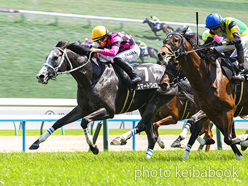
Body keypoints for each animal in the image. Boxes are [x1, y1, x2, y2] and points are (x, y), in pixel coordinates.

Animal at [29, 40, 178, 158]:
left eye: (55, 57)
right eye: (46, 57)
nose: (40, 76)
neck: (92, 77)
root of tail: (172, 75)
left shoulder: (109, 111)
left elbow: (84, 121)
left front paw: (94, 147)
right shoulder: (83, 108)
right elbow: (59, 122)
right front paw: (36, 143)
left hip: (156, 101)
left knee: (142, 125)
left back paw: (121, 139)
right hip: (145, 106)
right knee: (150, 132)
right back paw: (149, 154)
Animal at [158, 26, 248, 159]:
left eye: (175, 40)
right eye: (164, 40)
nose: (161, 54)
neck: (206, 78)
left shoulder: (227, 109)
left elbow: (228, 137)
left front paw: (243, 140)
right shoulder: (210, 112)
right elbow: (225, 136)